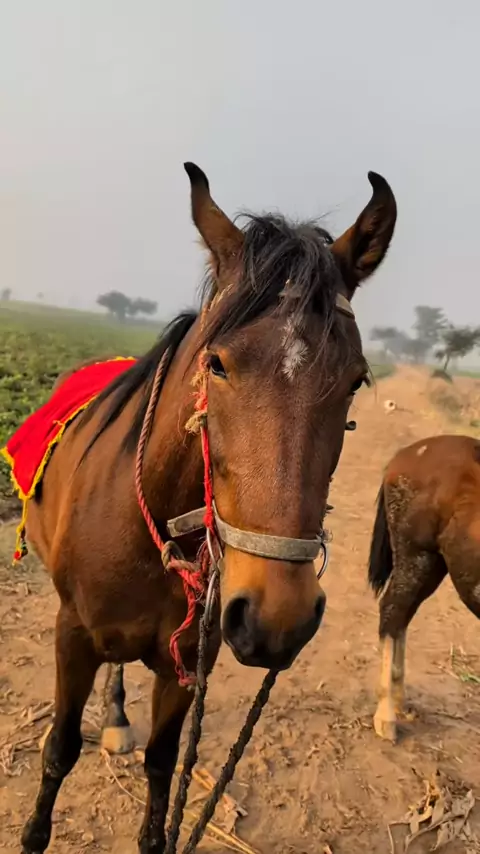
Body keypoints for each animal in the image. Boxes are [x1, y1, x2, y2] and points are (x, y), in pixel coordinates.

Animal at [17, 161, 396, 853]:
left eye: (355, 378)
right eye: (216, 365)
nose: (278, 617)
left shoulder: (189, 657)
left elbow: (163, 767)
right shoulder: (71, 633)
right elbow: (58, 750)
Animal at [369, 433, 480, 743]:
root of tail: (407, 454)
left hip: (434, 566)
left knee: (401, 617)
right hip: (417, 558)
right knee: (392, 613)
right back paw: (386, 714)